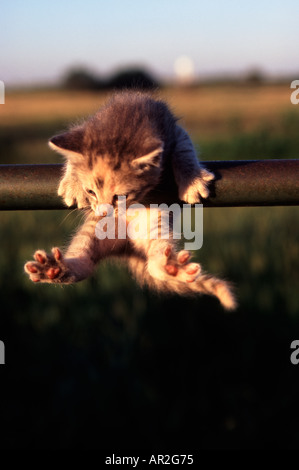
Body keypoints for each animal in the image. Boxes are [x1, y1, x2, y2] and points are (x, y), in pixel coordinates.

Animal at [24, 90, 238, 310]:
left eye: (121, 196)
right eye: (91, 191)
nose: (103, 212)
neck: (124, 118)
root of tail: (127, 247)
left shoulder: (173, 129)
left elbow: (185, 149)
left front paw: (192, 180)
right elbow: (74, 163)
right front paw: (72, 183)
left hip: (156, 227)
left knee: (155, 262)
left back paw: (171, 268)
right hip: (93, 231)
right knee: (84, 262)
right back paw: (54, 269)